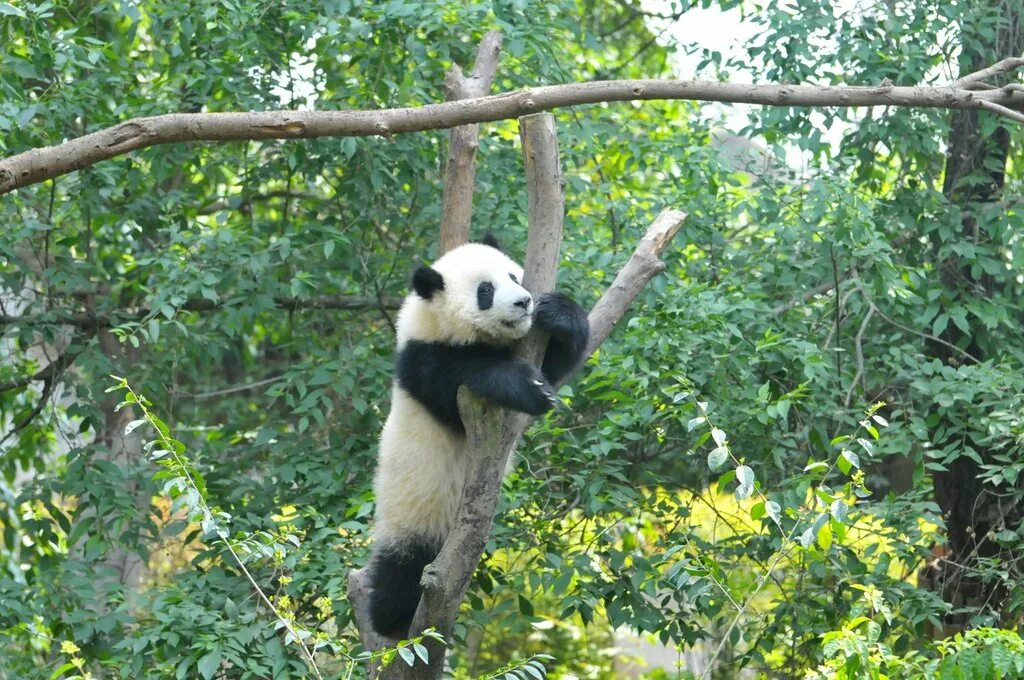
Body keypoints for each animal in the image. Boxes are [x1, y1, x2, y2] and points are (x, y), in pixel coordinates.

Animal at [367, 235, 590, 639]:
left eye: (514, 276)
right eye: (485, 291)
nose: (523, 302)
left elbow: (556, 365)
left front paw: (559, 314)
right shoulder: (422, 361)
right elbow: (463, 380)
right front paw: (526, 387)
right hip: (415, 512)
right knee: (402, 568)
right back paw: (393, 619)